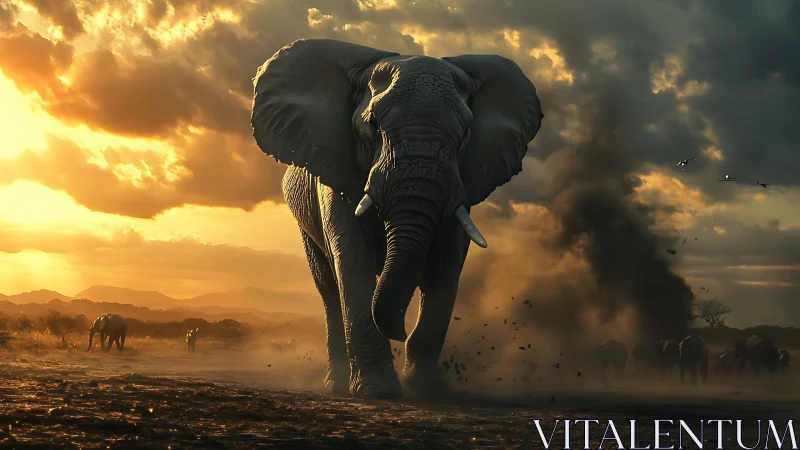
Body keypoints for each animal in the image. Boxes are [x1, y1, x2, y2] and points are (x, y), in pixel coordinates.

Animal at [251, 39, 543, 398]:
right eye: (373, 126)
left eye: (465, 135)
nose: (400, 333)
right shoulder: (334, 173)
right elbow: (353, 262)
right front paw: (377, 391)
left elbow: (445, 267)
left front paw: (425, 389)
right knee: (329, 290)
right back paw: (337, 384)